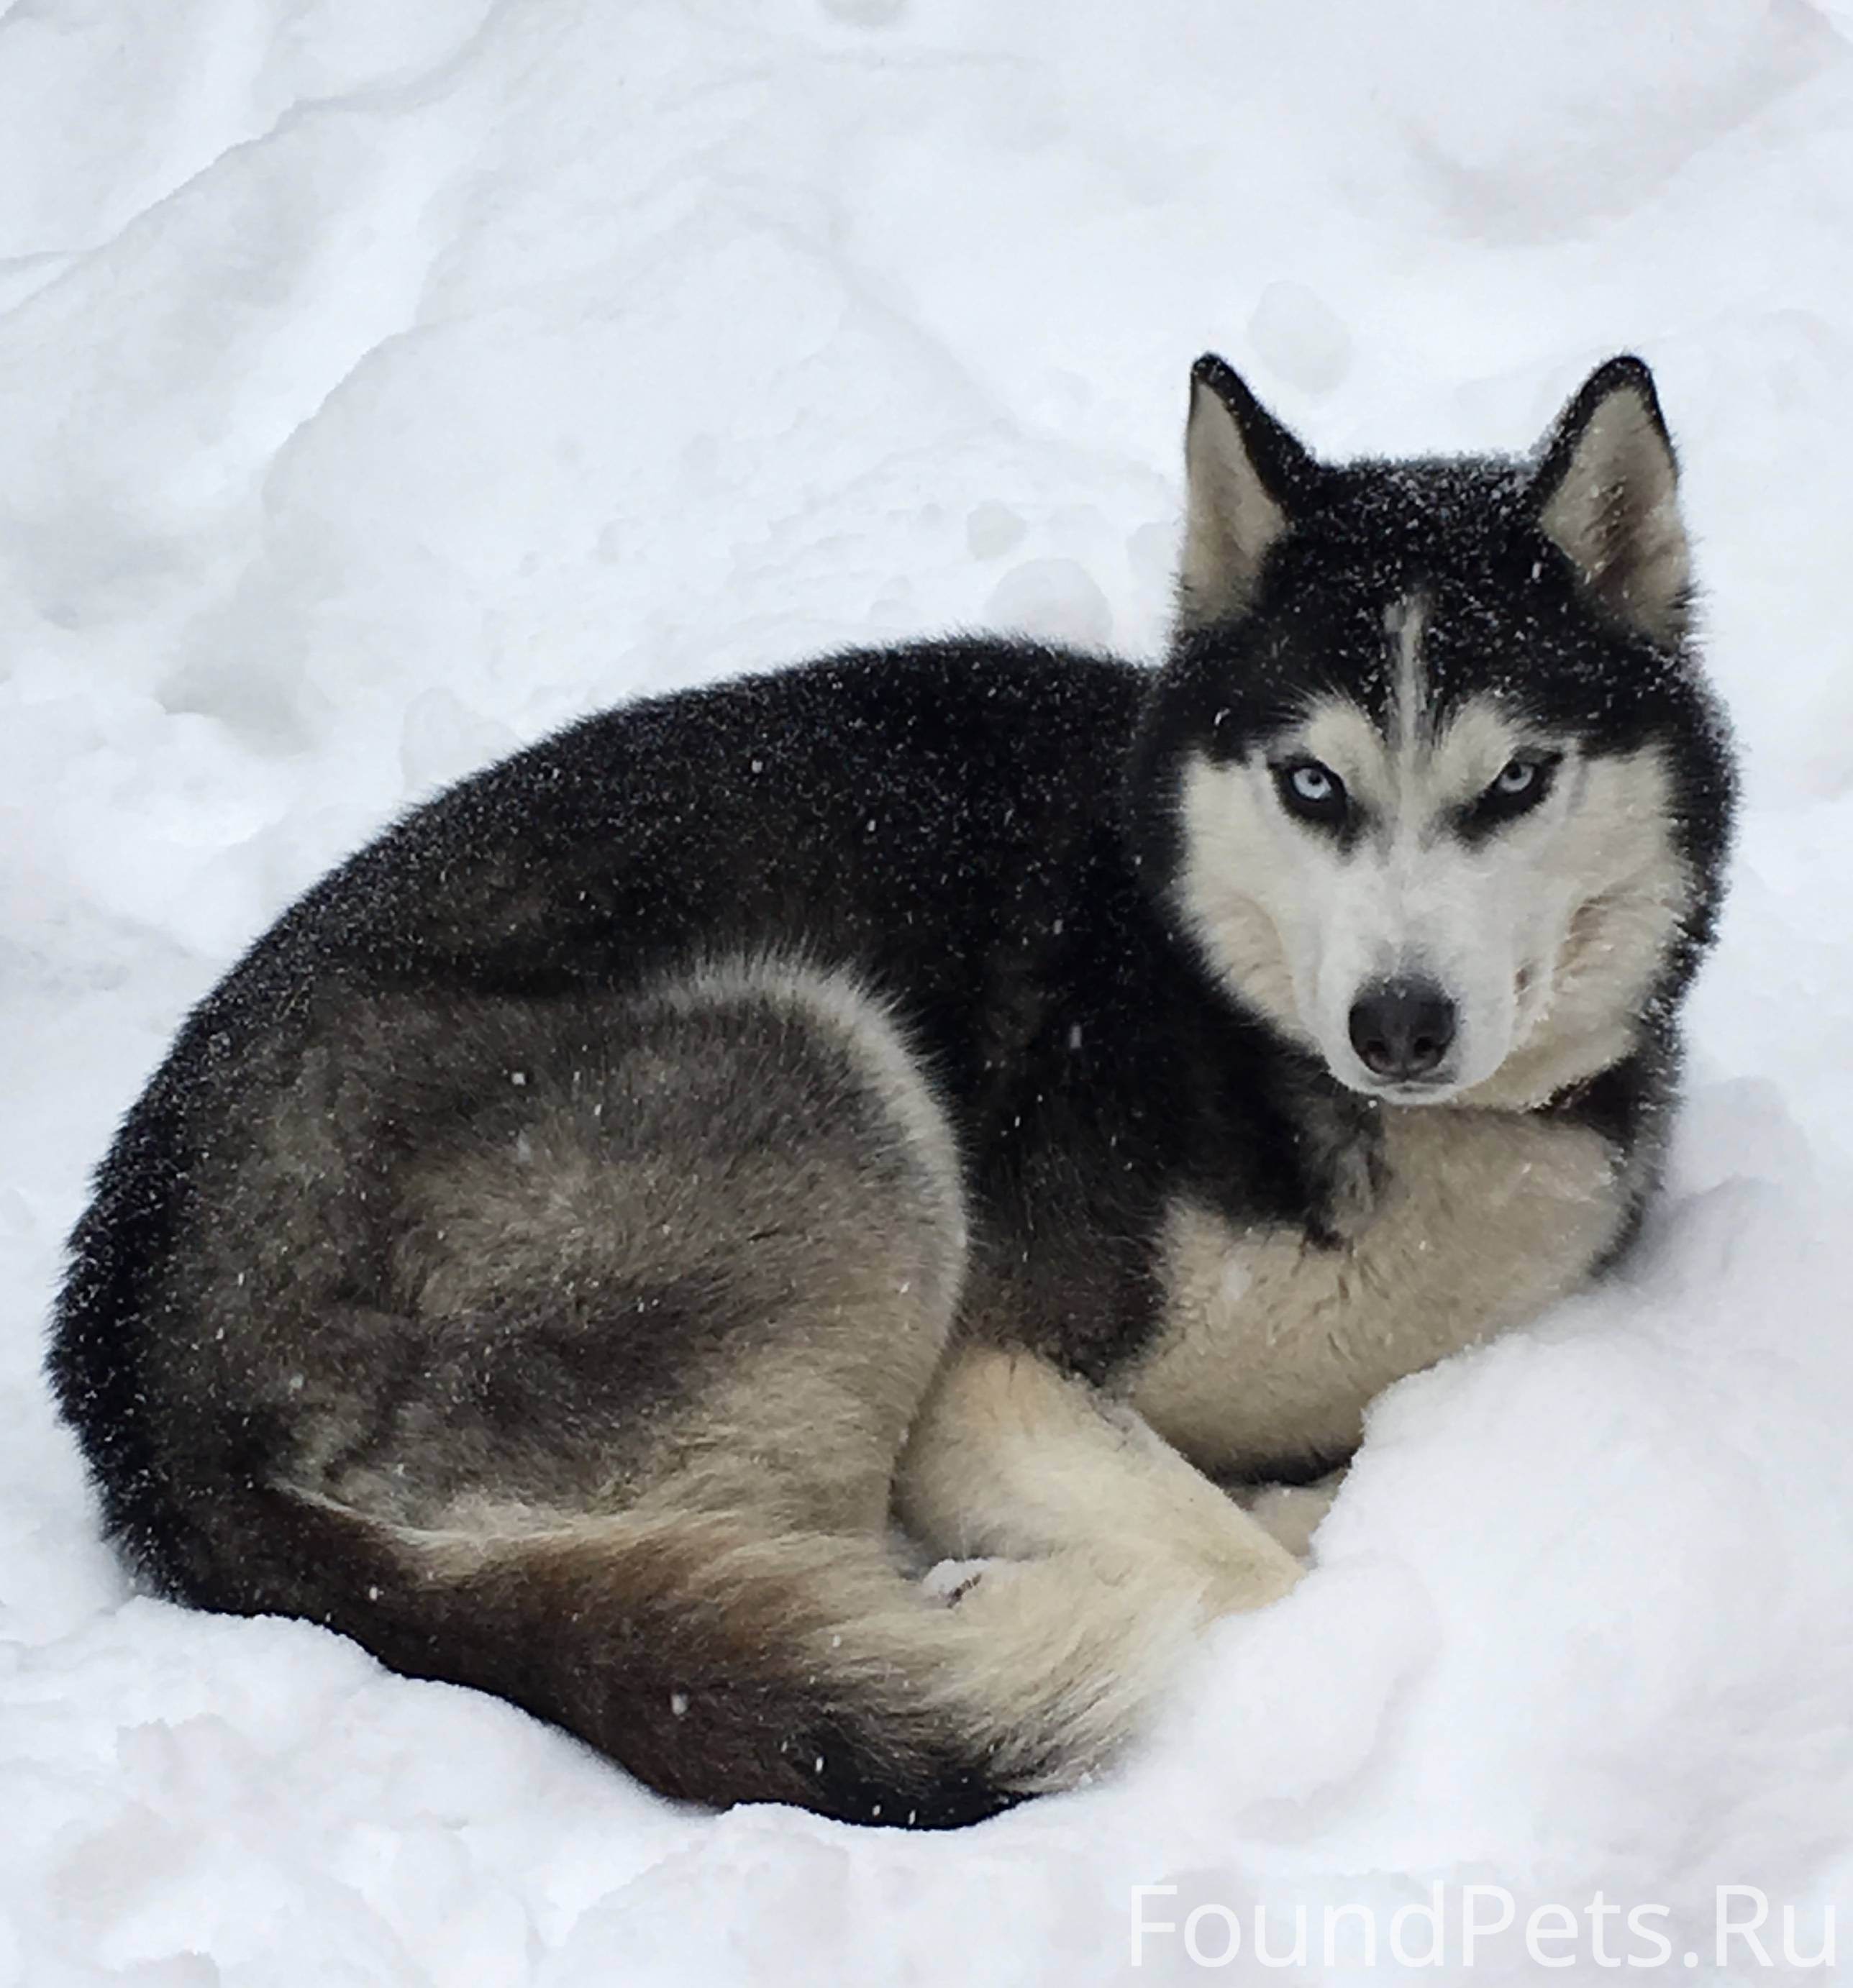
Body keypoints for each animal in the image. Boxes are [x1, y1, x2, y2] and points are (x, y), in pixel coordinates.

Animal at [54, 357, 1734, 1828]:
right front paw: (1256, 1525)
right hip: (822, 1071)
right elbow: (1256, 1562)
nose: (1399, 1023)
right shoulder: (984, 1378)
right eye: (1312, 783)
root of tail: (143, 1398)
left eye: (1516, 779)